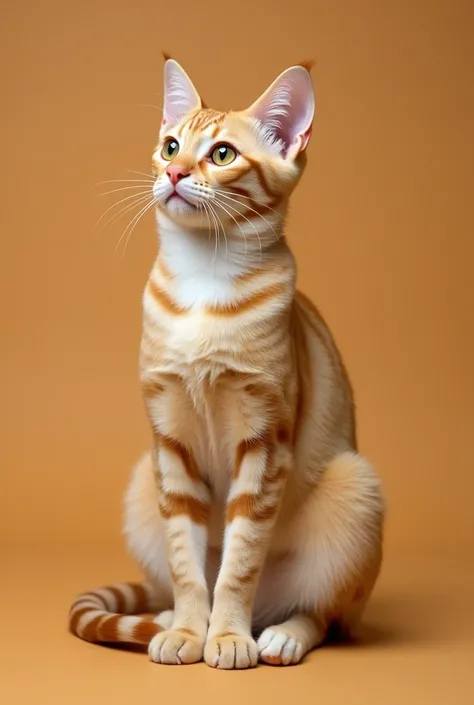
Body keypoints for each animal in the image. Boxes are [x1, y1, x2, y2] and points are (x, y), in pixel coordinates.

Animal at [69, 56, 386, 664]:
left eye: (221, 154)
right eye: (170, 146)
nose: (173, 173)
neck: (203, 279)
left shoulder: (264, 442)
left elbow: (239, 562)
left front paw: (228, 636)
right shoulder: (170, 441)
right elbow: (187, 562)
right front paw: (192, 632)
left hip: (355, 487)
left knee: (327, 613)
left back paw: (279, 635)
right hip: (142, 483)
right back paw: (168, 617)